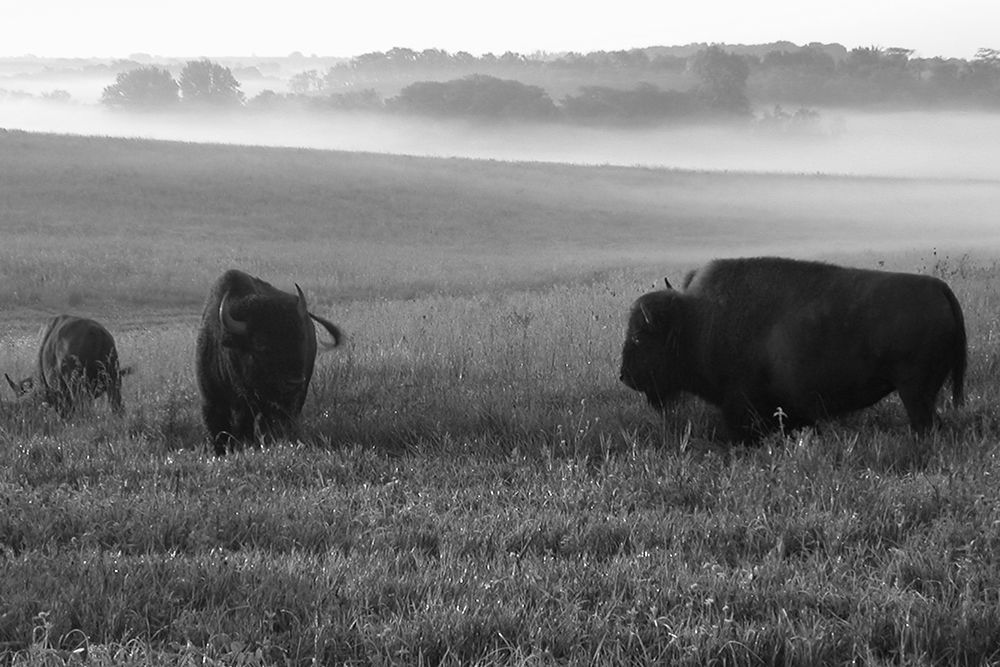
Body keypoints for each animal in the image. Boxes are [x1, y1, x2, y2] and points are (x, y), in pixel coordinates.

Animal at [619, 257, 967, 441]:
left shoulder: (739, 406)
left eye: (638, 338)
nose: (624, 377)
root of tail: (940, 288)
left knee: (926, 424)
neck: (695, 320)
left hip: (914, 391)